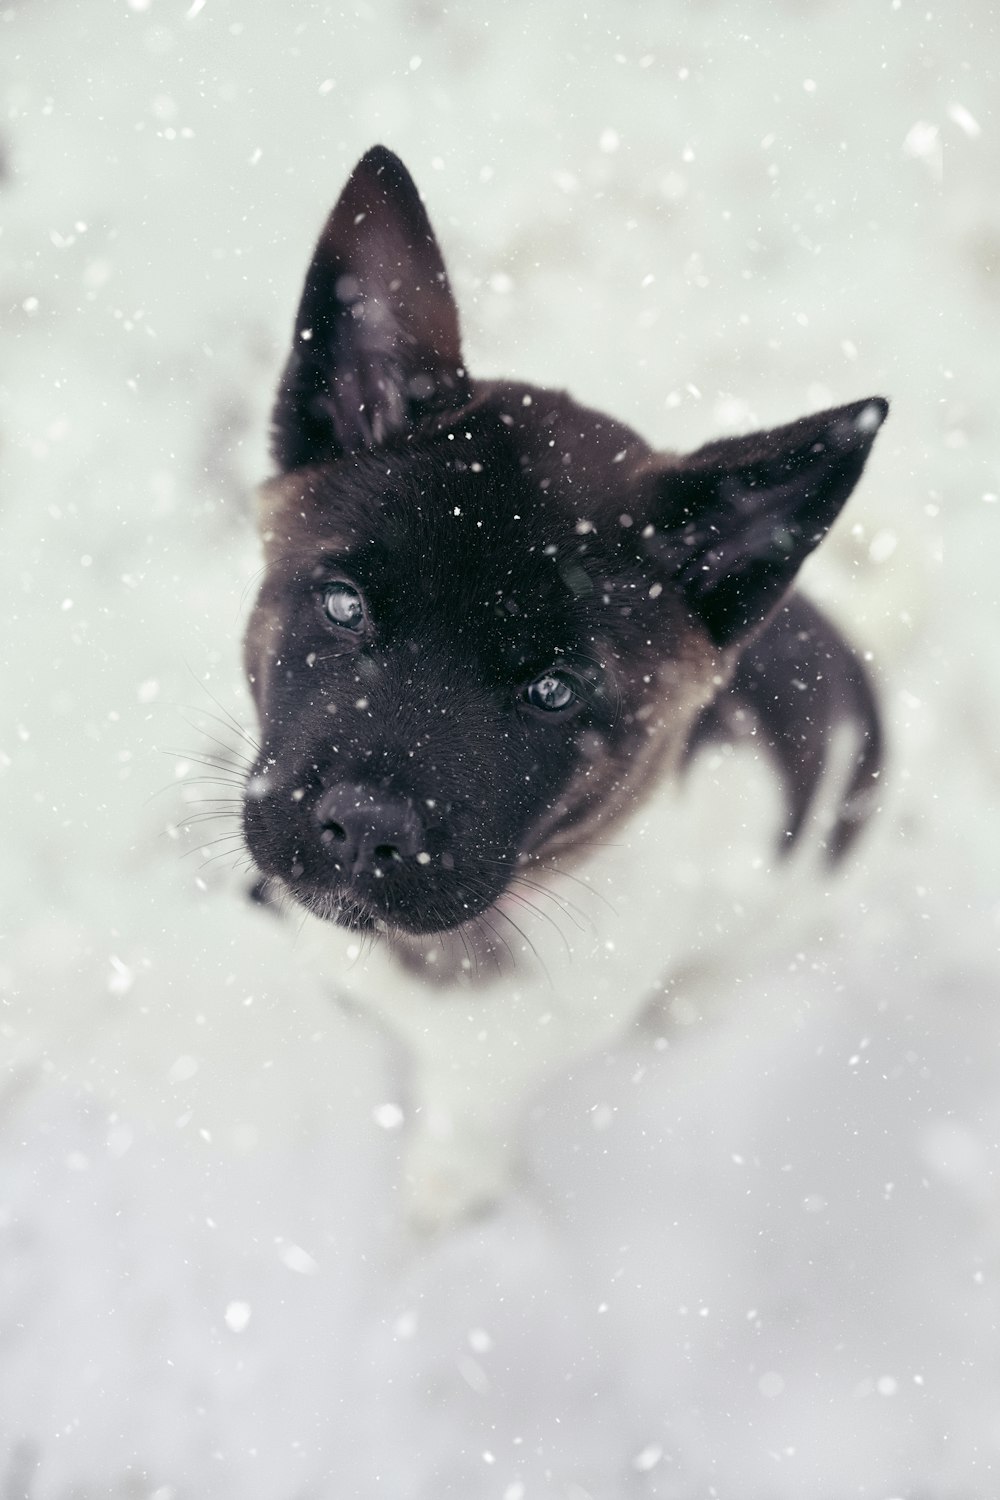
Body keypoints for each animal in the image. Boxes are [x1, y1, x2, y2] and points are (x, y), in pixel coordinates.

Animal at [238, 149, 887, 1230]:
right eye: (340, 605)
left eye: (553, 690)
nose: (363, 830)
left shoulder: (495, 1069)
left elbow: (461, 1137)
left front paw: (444, 1204)